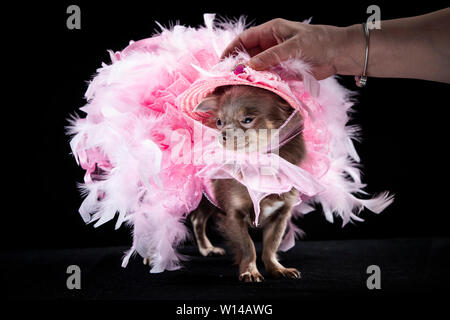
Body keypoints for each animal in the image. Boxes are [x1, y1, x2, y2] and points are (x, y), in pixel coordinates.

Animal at [190, 85, 306, 282]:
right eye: (219, 122)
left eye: (248, 120)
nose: (222, 134)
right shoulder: (233, 214)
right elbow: (247, 246)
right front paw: (250, 271)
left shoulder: (280, 214)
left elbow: (271, 246)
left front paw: (277, 268)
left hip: (207, 199)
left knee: (197, 218)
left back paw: (207, 248)